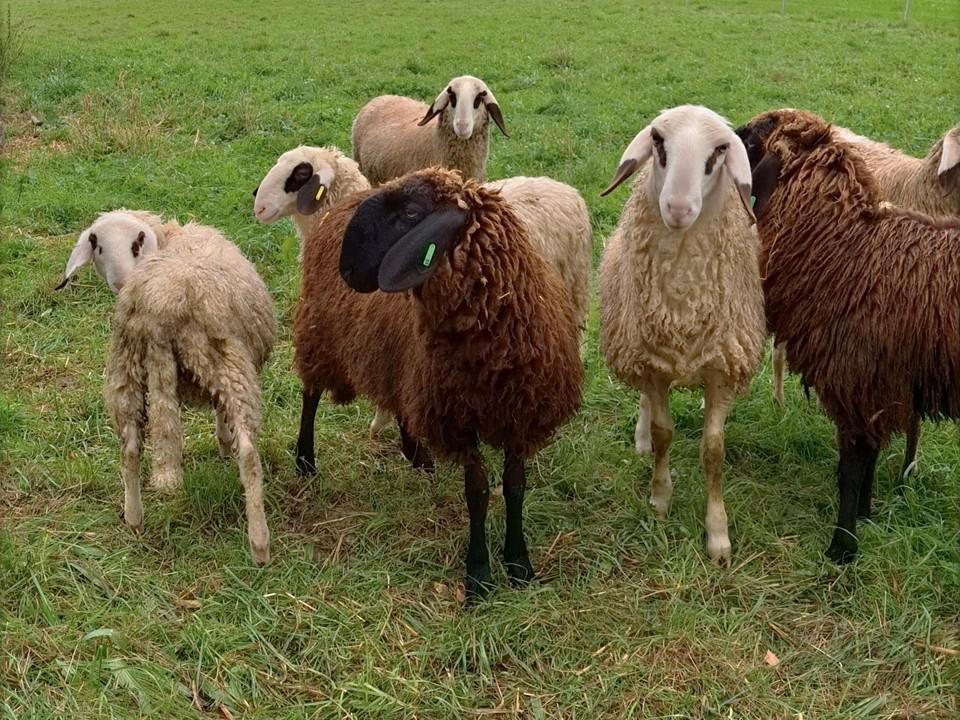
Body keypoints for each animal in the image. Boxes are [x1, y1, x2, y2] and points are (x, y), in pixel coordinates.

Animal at [58, 210, 276, 564]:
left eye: (134, 243)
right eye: (96, 244)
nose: (119, 281)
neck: (169, 236)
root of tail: (158, 308)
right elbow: (222, 416)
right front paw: (224, 445)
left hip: (125, 372)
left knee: (130, 448)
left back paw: (134, 519)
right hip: (225, 361)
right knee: (248, 452)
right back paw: (260, 546)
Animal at [293, 167, 583, 600]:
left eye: (412, 213)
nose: (348, 268)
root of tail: (339, 206)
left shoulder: (521, 412)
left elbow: (515, 486)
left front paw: (518, 563)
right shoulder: (459, 420)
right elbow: (477, 493)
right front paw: (478, 575)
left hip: (397, 363)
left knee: (399, 401)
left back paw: (417, 455)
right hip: (320, 331)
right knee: (310, 394)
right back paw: (305, 459)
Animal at [598, 105, 764, 565]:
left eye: (721, 150)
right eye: (658, 140)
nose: (676, 208)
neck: (682, 304)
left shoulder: (722, 368)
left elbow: (713, 450)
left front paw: (718, 535)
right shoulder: (652, 365)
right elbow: (662, 434)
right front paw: (659, 500)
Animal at [736, 108, 960, 563]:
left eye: (750, 142)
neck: (844, 247)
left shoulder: (856, 378)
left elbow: (852, 471)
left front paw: (842, 547)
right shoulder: (873, 390)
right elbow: (869, 461)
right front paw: (868, 517)